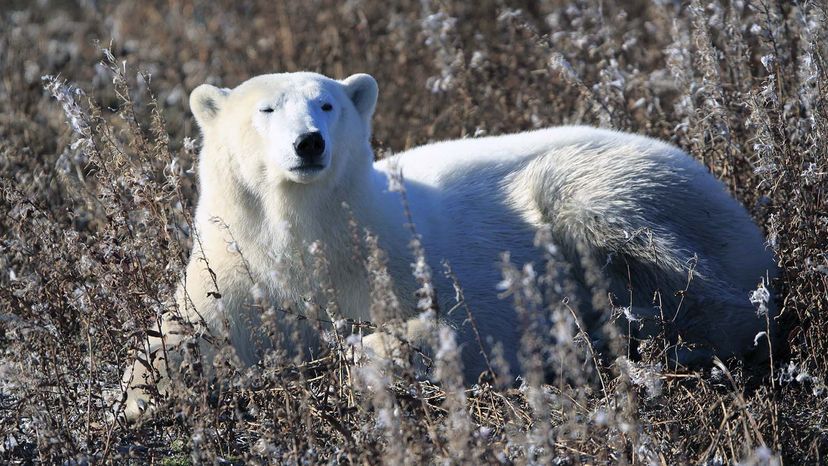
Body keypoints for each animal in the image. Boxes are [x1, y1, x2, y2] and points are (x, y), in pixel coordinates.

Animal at [121, 72, 776, 418]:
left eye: (327, 104)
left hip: (629, 190)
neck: (308, 239)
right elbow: (177, 339)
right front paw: (129, 401)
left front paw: (355, 357)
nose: (309, 142)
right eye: (266, 108)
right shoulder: (238, 264)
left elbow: (452, 330)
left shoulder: (403, 262)